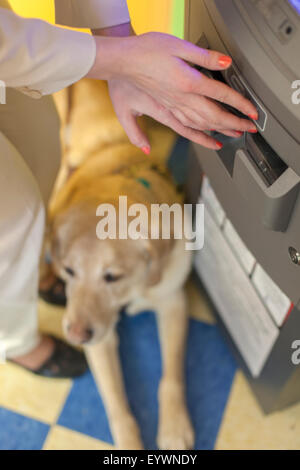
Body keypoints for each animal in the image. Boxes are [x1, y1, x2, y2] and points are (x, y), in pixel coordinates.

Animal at [49, 79, 195, 450]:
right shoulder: (100, 339)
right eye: (70, 271)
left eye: (112, 276)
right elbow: (118, 407)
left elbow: (172, 375)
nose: (75, 334)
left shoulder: (173, 301)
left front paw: (174, 427)